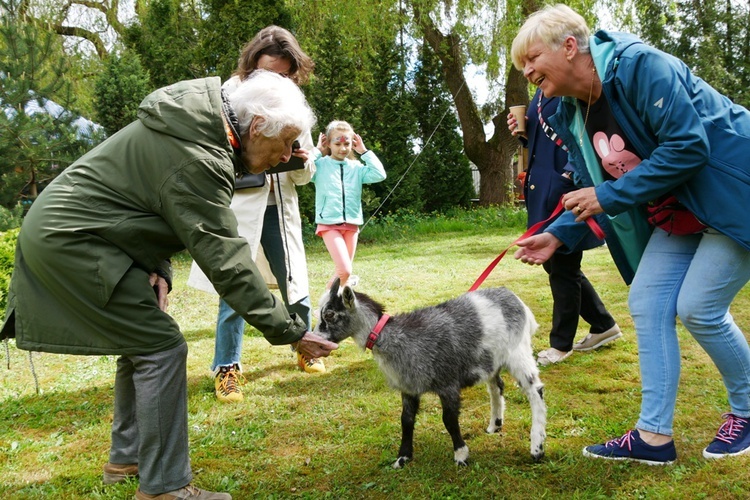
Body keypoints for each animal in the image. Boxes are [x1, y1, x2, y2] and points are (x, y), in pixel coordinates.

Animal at [314, 280, 548, 466]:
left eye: (329, 314)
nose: (316, 338)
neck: (394, 338)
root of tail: (515, 298)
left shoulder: (448, 384)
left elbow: (449, 419)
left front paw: (461, 455)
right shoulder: (409, 388)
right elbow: (406, 420)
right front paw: (403, 458)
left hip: (518, 351)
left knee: (535, 390)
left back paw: (537, 448)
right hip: (490, 360)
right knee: (496, 386)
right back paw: (495, 425)